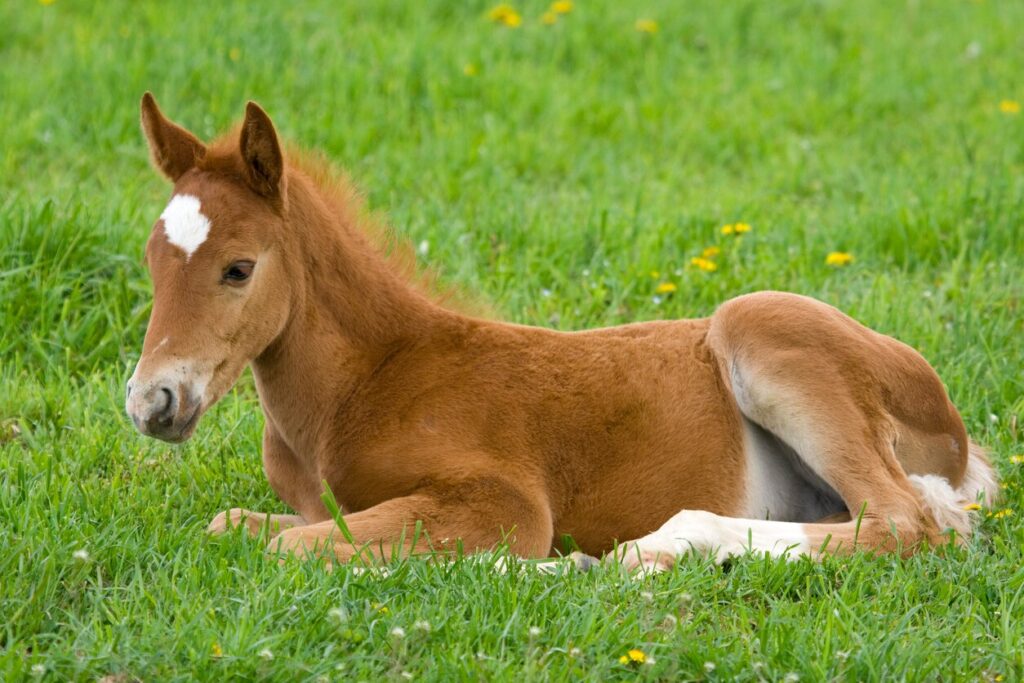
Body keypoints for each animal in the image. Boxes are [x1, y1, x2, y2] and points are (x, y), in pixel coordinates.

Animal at [125, 93, 998, 571]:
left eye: (238, 268)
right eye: (151, 259)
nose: (151, 400)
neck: (363, 385)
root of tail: (960, 438)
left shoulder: (502, 500)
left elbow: (287, 548)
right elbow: (234, 526)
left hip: (757, 324)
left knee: (905, 522)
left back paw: (651, 549)